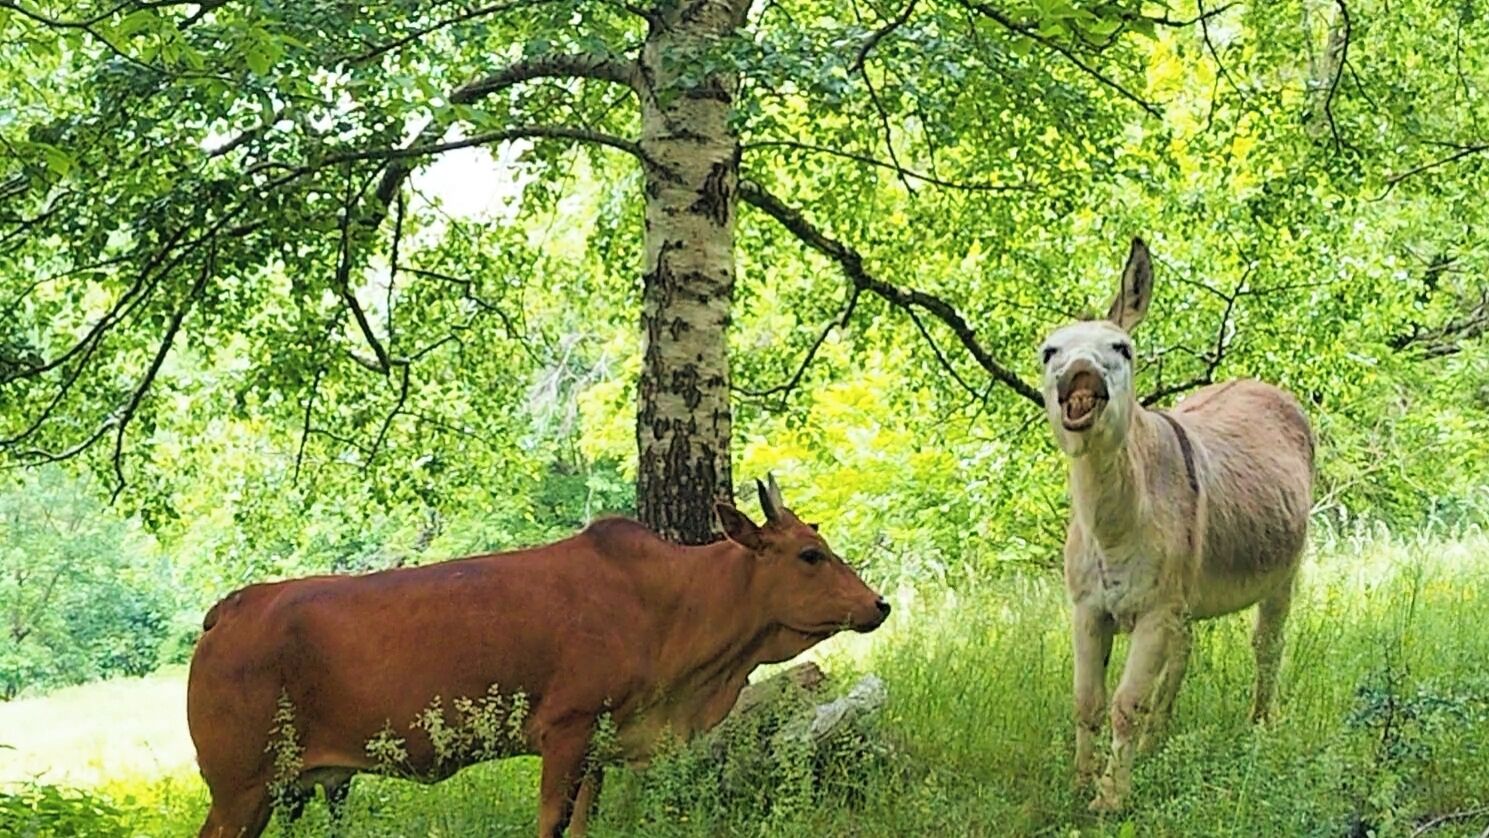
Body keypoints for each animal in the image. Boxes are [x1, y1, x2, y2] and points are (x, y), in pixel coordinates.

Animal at [187, 474, 890, 837]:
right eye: (810, 554)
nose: (878, 604)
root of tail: (228, 608)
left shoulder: (600, 743)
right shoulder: (566, 728)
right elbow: (551, 824)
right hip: (239, 786)